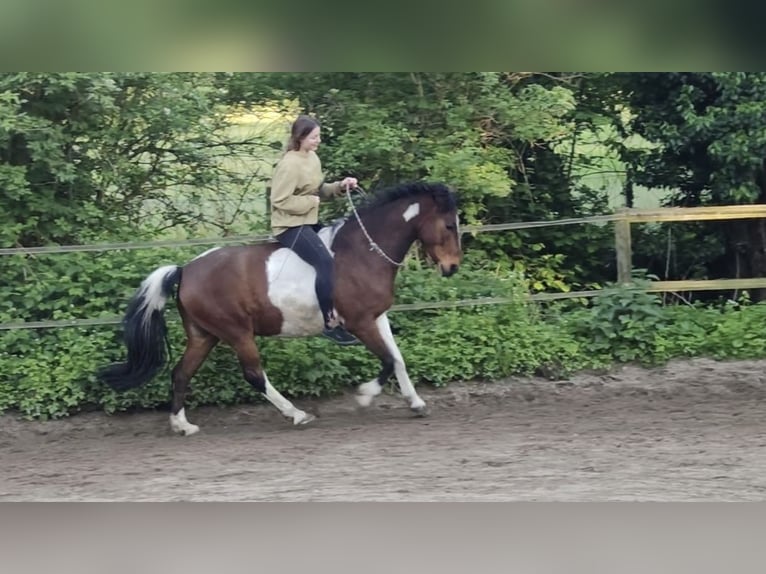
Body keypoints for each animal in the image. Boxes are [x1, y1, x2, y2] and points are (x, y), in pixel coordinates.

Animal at [99, 182, 464, 434]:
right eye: (448, 225)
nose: (452, 268)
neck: (364, 251)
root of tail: (185, 269)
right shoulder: (360, 322)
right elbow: (387, 361)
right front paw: (364, 396)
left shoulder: (378, 317)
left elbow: (398, 359)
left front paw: (416, 403)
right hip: (237, 332)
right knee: (254, 375)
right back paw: (297, 414)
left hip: (204, 335)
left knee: (181, 373)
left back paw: (182, 426)